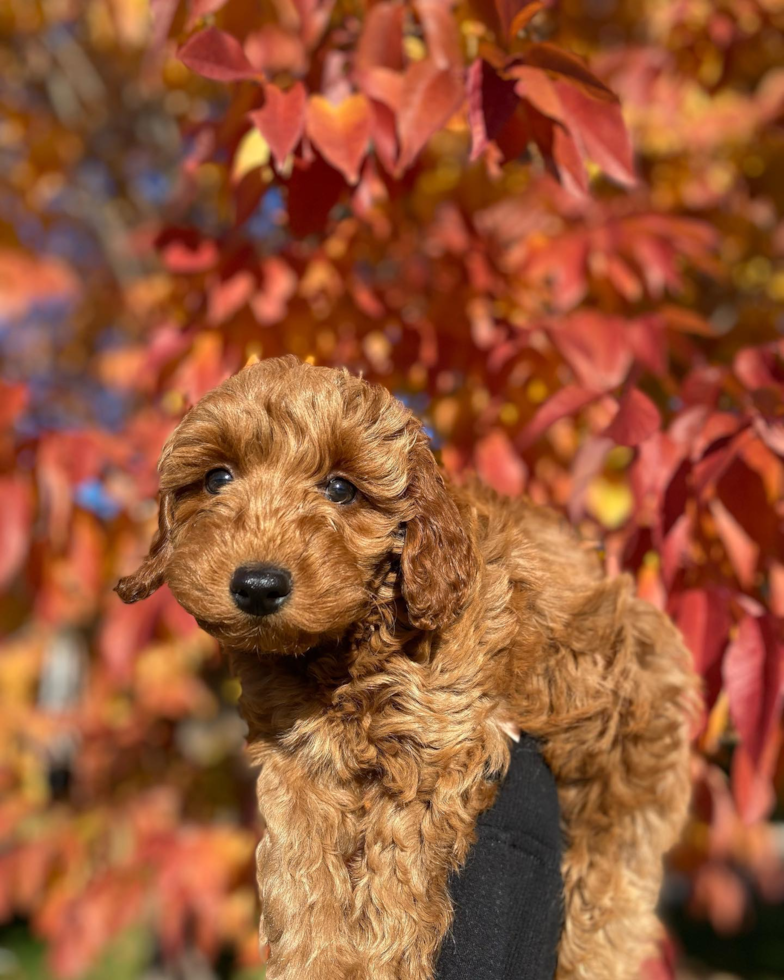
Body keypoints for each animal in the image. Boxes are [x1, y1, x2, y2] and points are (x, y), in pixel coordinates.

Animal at [118, 356, 700, 980]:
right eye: (217, 479)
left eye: (341, 489)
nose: (257, 585)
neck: (342, 652)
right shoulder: (299, 760)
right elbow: (302, 870)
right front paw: (316, 961)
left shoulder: (432, 744)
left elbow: (393, 882)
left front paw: (380, 964)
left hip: (626, 746)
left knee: (611, 883)